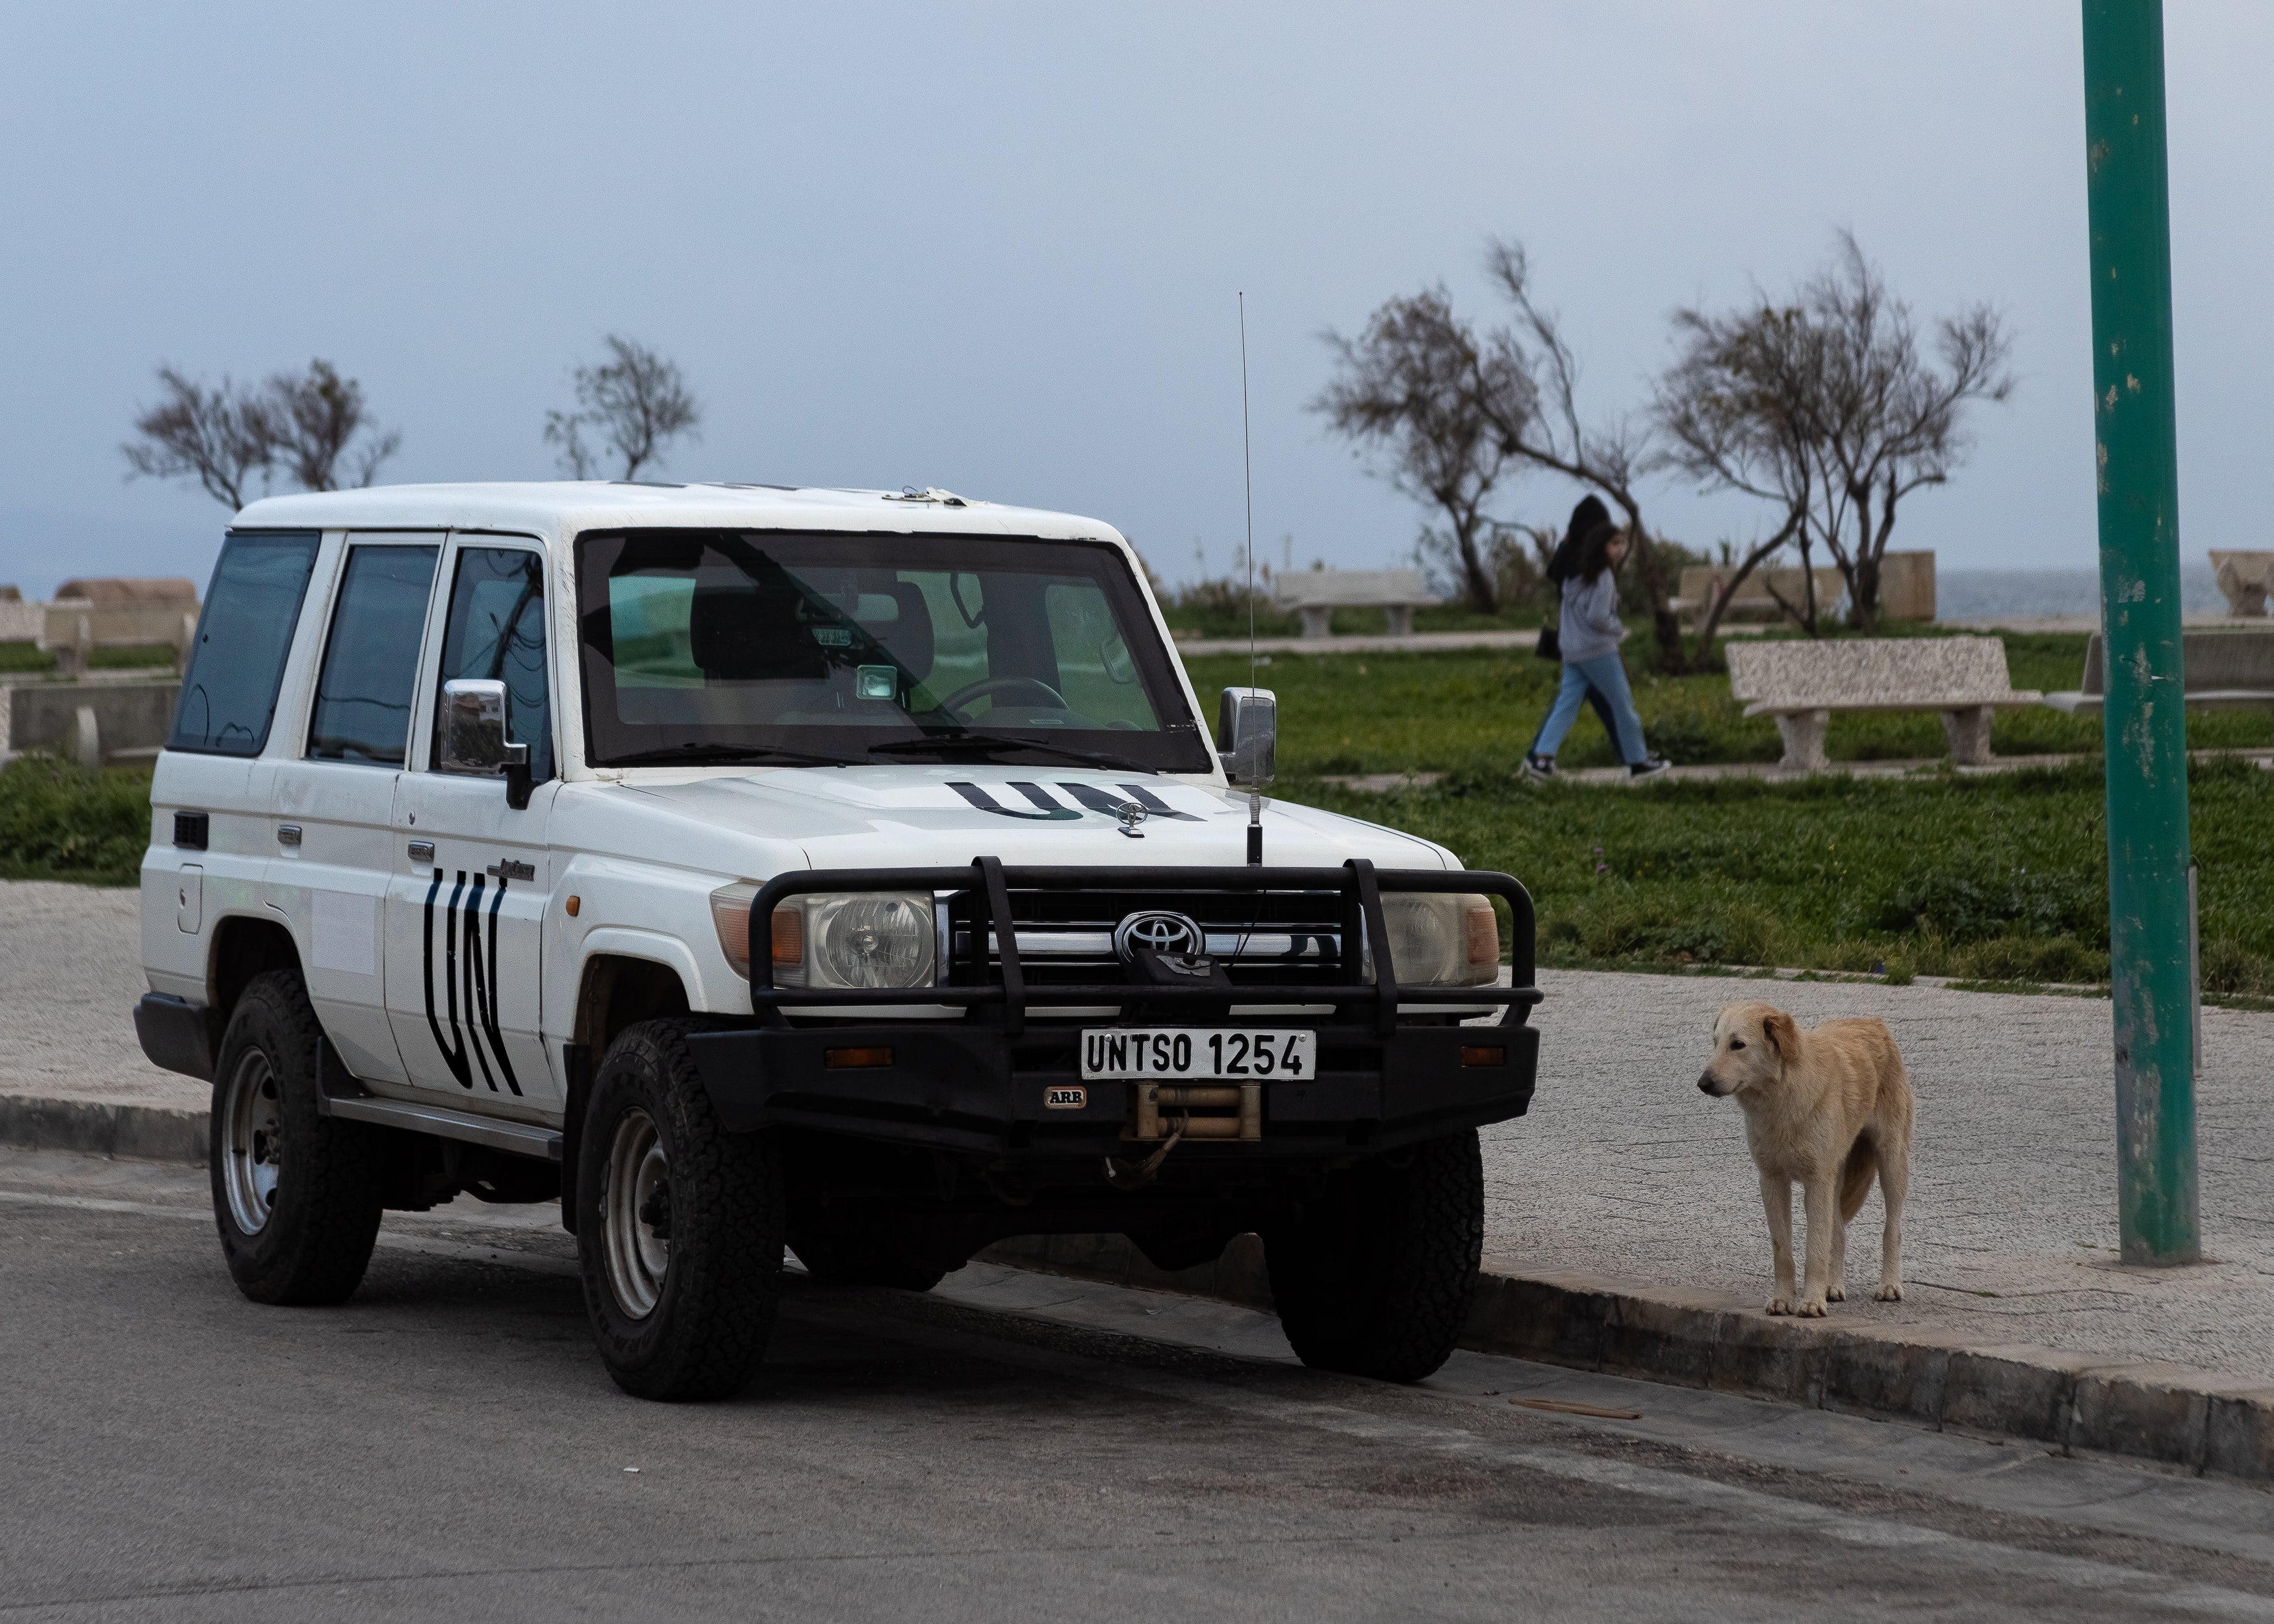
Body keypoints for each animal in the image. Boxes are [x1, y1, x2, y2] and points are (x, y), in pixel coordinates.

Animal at [1701, 1000, 1910, 1319]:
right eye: (1716, 1043)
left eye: (1738, 1045)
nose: (1702, 1083)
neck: (1781, 1100)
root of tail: (1874, 1023)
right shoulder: (1773, 1180)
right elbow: (1783, 1250)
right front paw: (1783, 1300)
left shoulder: (1817, 1181)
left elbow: (1815, 1249)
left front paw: (1811, 1304)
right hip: (1837, 1177)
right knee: (1838, 1232)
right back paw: (1832, 1288)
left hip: (1891, 1163)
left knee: (1892, 1230)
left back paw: (1889, 1286)